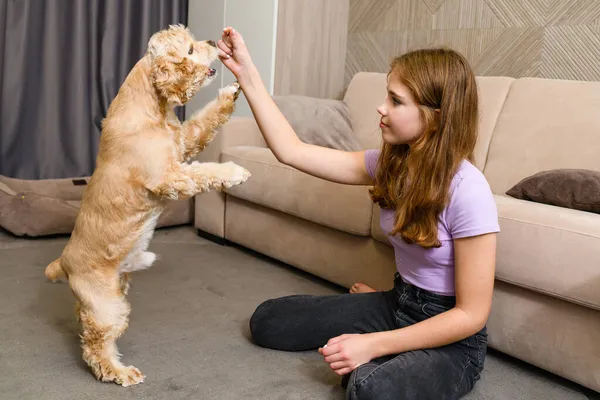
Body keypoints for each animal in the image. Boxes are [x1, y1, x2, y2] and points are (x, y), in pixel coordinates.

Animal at [44, 23, 250, 386]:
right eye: (190, 50)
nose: (213, 40)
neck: (151, 107)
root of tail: (64, 263)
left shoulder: (183, 144)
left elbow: (204, 122)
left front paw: (232, 91)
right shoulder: (169, 176)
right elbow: (206, 171)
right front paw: (235, 172)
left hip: (108, 295)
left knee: (86, 327)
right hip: (107, 306)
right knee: (96, 347)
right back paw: (120, 373)